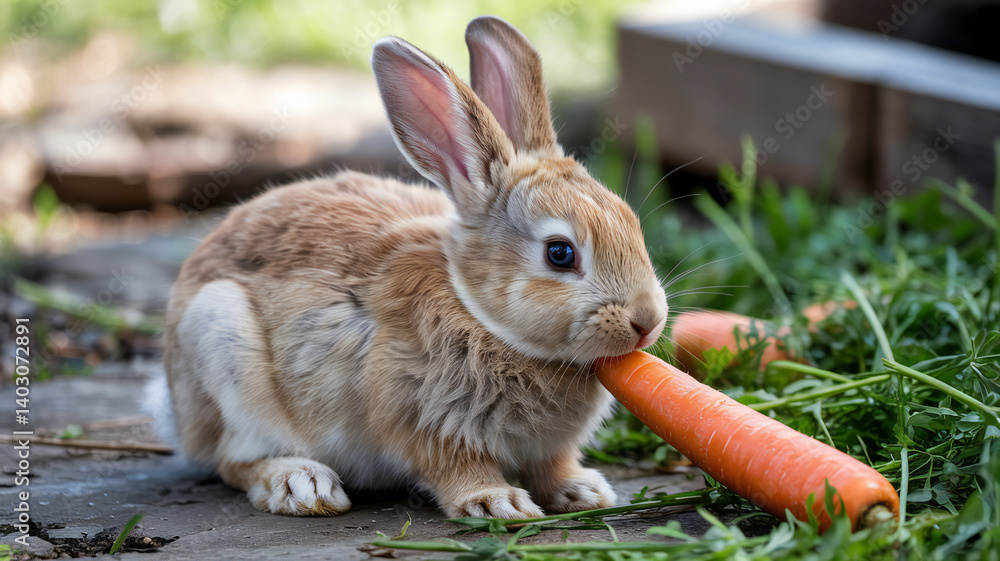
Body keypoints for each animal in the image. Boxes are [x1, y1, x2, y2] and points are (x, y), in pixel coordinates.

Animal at [162, 15, 667, 519]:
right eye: (560, 253)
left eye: (631, 222)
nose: (648, 321)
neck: (476, 311)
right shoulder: (424, 419)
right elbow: (456, 466)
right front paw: (497, 503)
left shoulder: (547, 448)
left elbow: (553, 467)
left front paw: (583, 492)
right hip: (219, 340)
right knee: (233, 460)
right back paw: (302, 485)